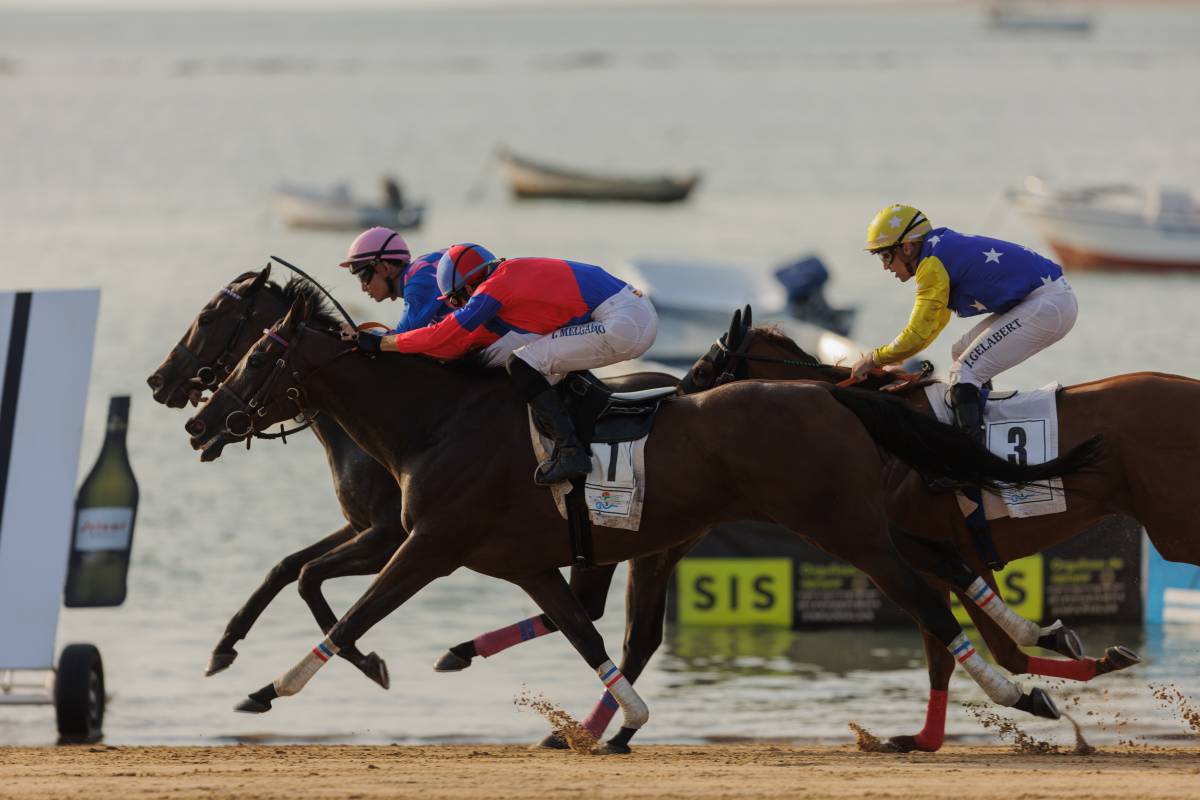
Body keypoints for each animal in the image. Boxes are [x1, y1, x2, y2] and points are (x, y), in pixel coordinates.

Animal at [150, 271, 1088, 753]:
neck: (435, 420)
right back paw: (1040, 651)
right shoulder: (518, 559)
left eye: (247, 347)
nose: (189, 411)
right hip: (818, 520)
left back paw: (1021, 688)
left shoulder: (422, 541)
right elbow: (584, 630)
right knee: (942, 569)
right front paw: (618, 719)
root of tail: (833, 391)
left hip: (838, 525)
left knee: (929, 599)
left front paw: (270, 687)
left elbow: (349, 609)